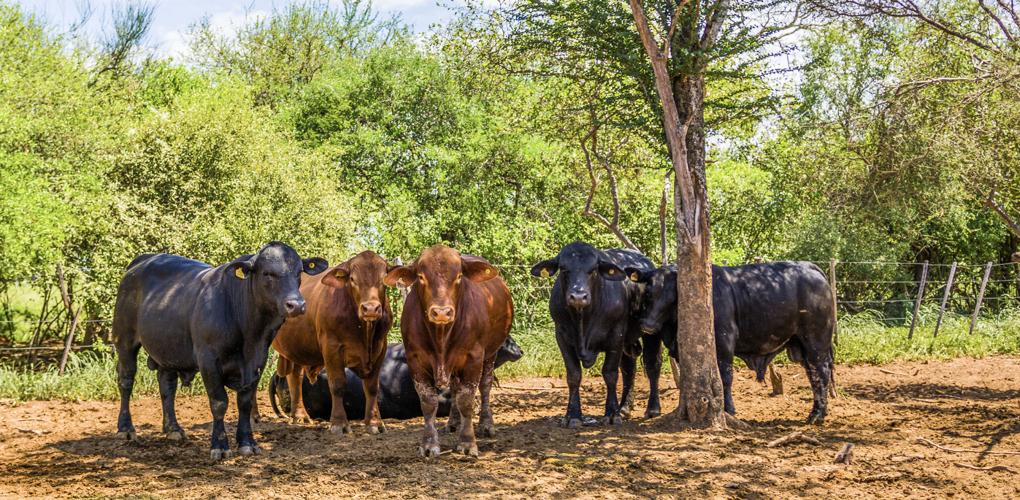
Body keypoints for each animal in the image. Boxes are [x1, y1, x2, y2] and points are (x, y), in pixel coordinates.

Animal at [112, 242, 327, 460]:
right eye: (267, 273)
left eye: (299, 272)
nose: (296, 305)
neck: (250, 334)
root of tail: (144, 260)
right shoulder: (208, 360)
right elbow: (219, 402)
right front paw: (220, 446)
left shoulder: (258, 361)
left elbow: (245, 403)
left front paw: (247, 443)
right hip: (124, 340)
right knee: (126, 381)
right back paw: (126, 429)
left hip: (168, 349)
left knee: (167, 386)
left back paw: (173, 429)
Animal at [267, 250, 395, 435]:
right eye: (352, 279)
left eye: (383, 278)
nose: (370, 308)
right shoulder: (332, 347)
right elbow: (337, 385)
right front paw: (339, 424)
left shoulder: (380, 348)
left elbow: (372, 388)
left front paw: (374, 423)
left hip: (297, 348)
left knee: (295, 378)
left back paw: (300, 416)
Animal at [385, 245, 513, 457]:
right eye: (421, 277)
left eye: (459, 276)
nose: (442, 312)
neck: (441, 338)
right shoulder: (415, 359)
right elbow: (429, 402)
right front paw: (429, 444)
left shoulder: (473, 358)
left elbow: (466, 400)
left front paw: (467, 442)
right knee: (454, 388)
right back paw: (453, 422)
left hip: (490, 354)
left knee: (485, 386)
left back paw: (486, 425)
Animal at [530, 241, 656, 428]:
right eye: (564, 268)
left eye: (593, 269)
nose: (578, 297)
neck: (583, 319)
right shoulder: (561, 336)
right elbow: (574, 375)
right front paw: (573, 416)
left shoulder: (616, 335)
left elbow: (610, 374)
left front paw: (611, 414)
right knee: (629, 369)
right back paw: (624, 407)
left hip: (651, 331)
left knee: (652, 365)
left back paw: (652, 408)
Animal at [626, 261, 835, 424]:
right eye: (648, 292)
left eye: (672, 295)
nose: (648, 325)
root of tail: (810, 267)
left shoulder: (725, 341)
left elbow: (725, 377)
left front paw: (728, 408)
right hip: (801, 345)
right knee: (813, 375)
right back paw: (819, 411)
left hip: (816, 341)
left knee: (822, 372)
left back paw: (817, 415)